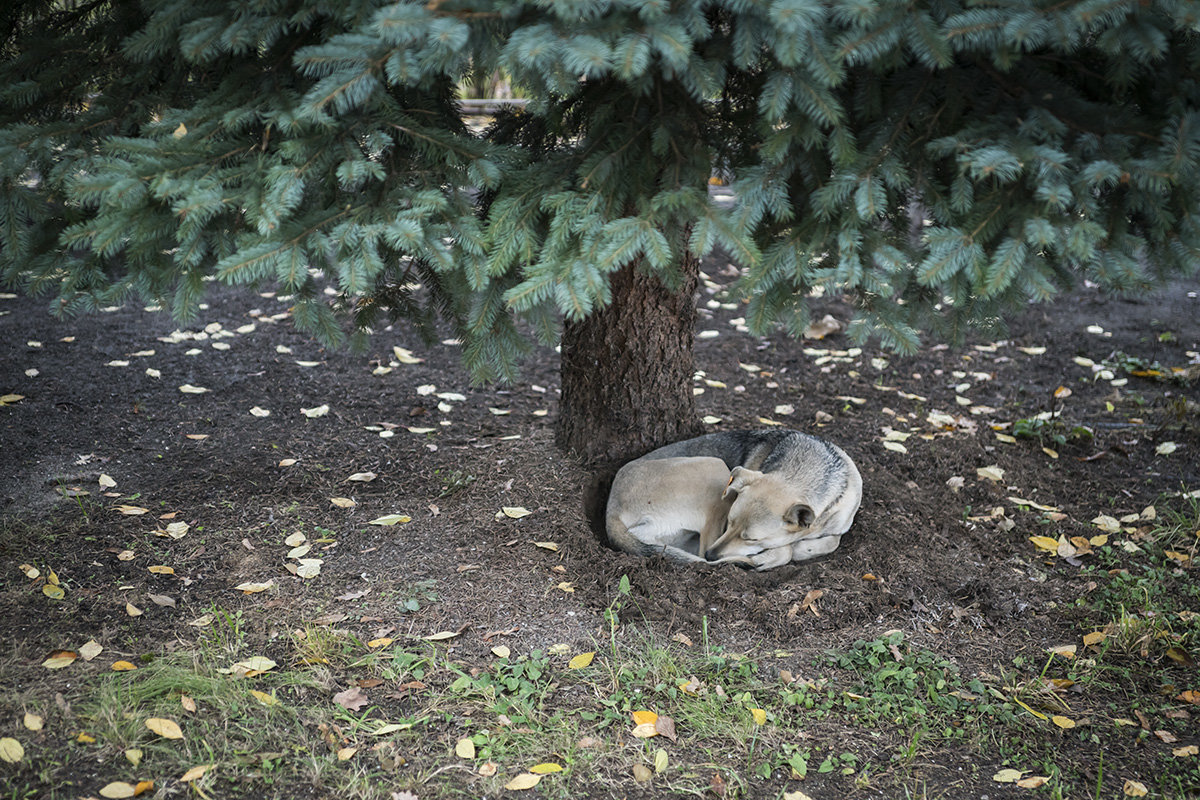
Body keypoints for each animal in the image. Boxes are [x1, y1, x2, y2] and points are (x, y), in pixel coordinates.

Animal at [609, 431, 864, 568]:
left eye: (751, 538)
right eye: (729, 523)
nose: (712, 556)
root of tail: (612, 508)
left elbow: (833, 541)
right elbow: (788, 549)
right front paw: (782, 552)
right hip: (714, 470)